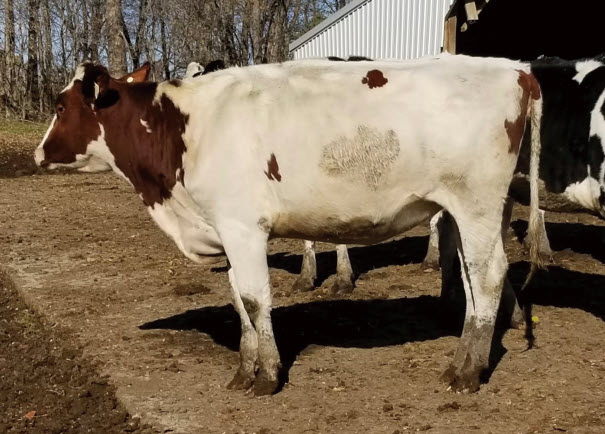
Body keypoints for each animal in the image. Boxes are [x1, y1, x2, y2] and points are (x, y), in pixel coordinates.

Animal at [34, 54, 544, 395]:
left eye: (59, 107)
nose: (37, 154)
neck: (183, 130)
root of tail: (516, 68)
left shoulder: (242, 226)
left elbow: (256, 300)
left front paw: (268, 376)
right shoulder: (226, 228)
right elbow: (238, 298)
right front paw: (244, 371)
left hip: (476, 203)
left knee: (487, 276)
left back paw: (468, 373)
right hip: (474, 210)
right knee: (476, 280)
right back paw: (466, 359)